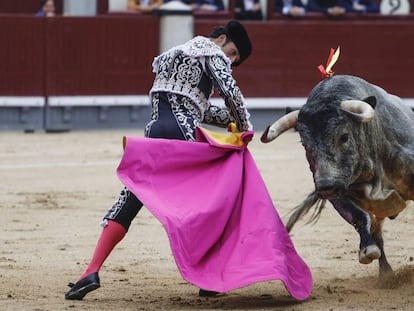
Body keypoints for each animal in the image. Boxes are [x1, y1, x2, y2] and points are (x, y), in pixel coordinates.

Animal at [262, 75, 414, 278]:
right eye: (304, 144)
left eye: (344, 136)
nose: (326, 186)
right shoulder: (338, 192)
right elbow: (359, 216)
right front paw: (367, 250)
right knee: (377, 231)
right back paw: (386, 274)